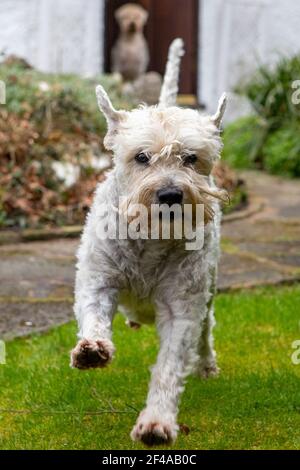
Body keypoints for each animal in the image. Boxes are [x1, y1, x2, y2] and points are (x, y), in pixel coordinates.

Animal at [71, 38, 227, 446]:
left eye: (191, 158)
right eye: (141, 157)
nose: (170, 194)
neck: (152, 240)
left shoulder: (181, 306)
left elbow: (170, 364)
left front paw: (156, 423)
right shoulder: (99, 278)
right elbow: (94, 313)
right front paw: (92, 349)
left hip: (209, 290)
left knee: (207, 329)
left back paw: (207, 365)